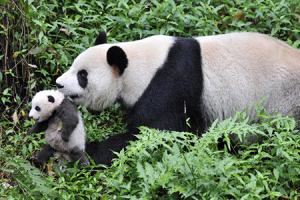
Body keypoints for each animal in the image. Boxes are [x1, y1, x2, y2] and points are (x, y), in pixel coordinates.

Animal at [56, 32, 300, 165]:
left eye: (82, 75)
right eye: (73, 66)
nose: (58, 84)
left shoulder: (170, 86)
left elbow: (156, 134)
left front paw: (84, 151)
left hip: (284, 103)